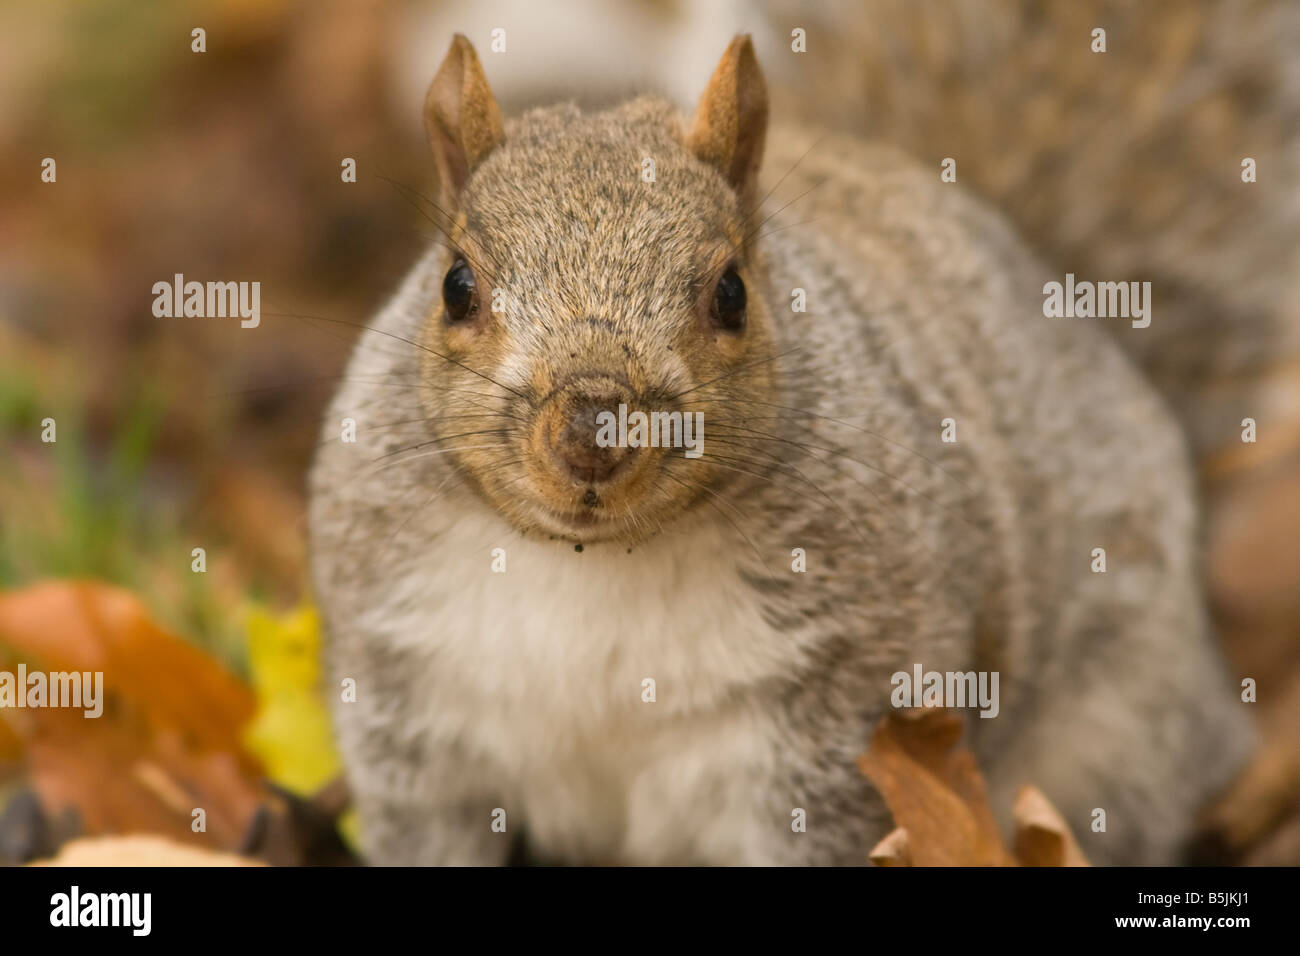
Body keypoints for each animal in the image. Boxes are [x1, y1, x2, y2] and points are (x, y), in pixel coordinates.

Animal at [309, 33, 1253, 863]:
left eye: (732, 292)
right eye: (455, 285)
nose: (592, 431)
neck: (595, 561)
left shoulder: (840, 724)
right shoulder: (410, 707)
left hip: (1122, 732)